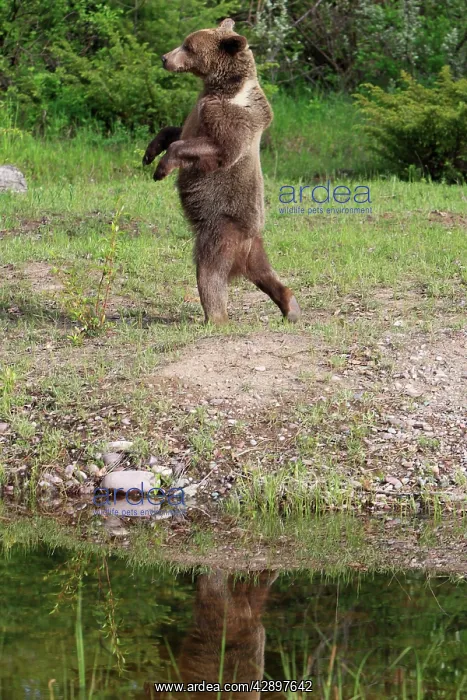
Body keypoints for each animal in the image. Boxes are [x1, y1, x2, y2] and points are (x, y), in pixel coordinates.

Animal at [143, 18, 300, 325]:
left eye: (188, 46)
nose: (165, 58)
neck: (223, 88)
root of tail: (246, 244)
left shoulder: (230, 117)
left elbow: (217, 148)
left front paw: (161, 169)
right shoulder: (198, 112)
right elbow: (174, 130)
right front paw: (149, 153)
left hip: (221, 230)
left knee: (210, 272)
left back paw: (214, 317)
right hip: (253, 249)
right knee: (266, 273)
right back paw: (291, 306)